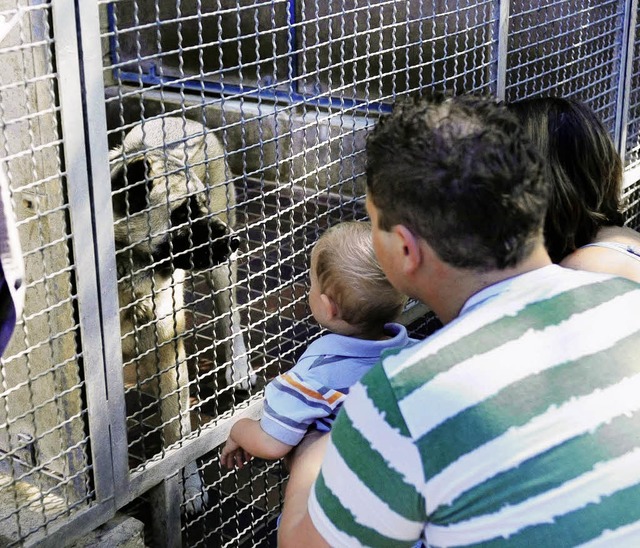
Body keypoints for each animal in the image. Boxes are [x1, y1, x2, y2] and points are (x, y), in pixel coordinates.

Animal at [109, 116, 255, 512]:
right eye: (183, 213)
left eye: (201, 204)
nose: (234, 240)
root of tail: (181, 119)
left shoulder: (169, 356)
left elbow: (178, 439)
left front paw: (187, 488)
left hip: (221, 275)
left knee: (230, 315)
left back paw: (238, 368)